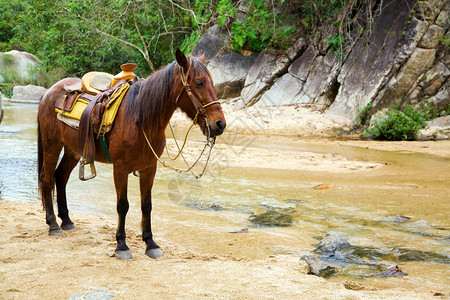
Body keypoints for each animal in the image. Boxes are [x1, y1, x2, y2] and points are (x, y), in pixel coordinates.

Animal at [36, 50, 225, 258]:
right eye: (199, 82)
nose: (220, 124)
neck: (140, 118)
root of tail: (48, 92)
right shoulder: (120, 168)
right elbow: (122, 205)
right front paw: (121, 245)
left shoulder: (149, 168)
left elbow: (146, 205)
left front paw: (151, 244)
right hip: (52, 146)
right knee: (47, 179)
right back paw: (53, 224)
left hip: (73, 151)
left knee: (60, 177)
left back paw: (67, 221)